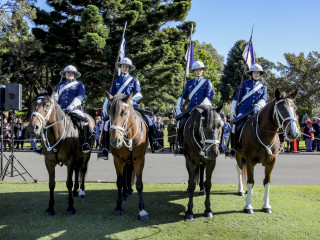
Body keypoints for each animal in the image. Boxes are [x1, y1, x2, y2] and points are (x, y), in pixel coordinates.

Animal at [27, 86, 95, 216]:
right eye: (32, 105)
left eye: (47, 105)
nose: (33, 128)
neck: (56, 134)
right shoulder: (49, 162)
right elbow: (51, 184)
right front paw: (50, 208)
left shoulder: (70, 160)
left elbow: (68, 183)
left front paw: (70, 207)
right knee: (77, 170)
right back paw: (75, 191)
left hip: (86, 155)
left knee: (83, 170)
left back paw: (81, 192)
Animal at [106, 91, 149, 221]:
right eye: (109, 112)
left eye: (124, 112)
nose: (115, 141)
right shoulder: (118, 160)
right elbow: (119, 182)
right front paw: (118, 207)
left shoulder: (140, 160)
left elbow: (139, 184)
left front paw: (142, 210)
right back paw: (125, 193)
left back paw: (128, 191)